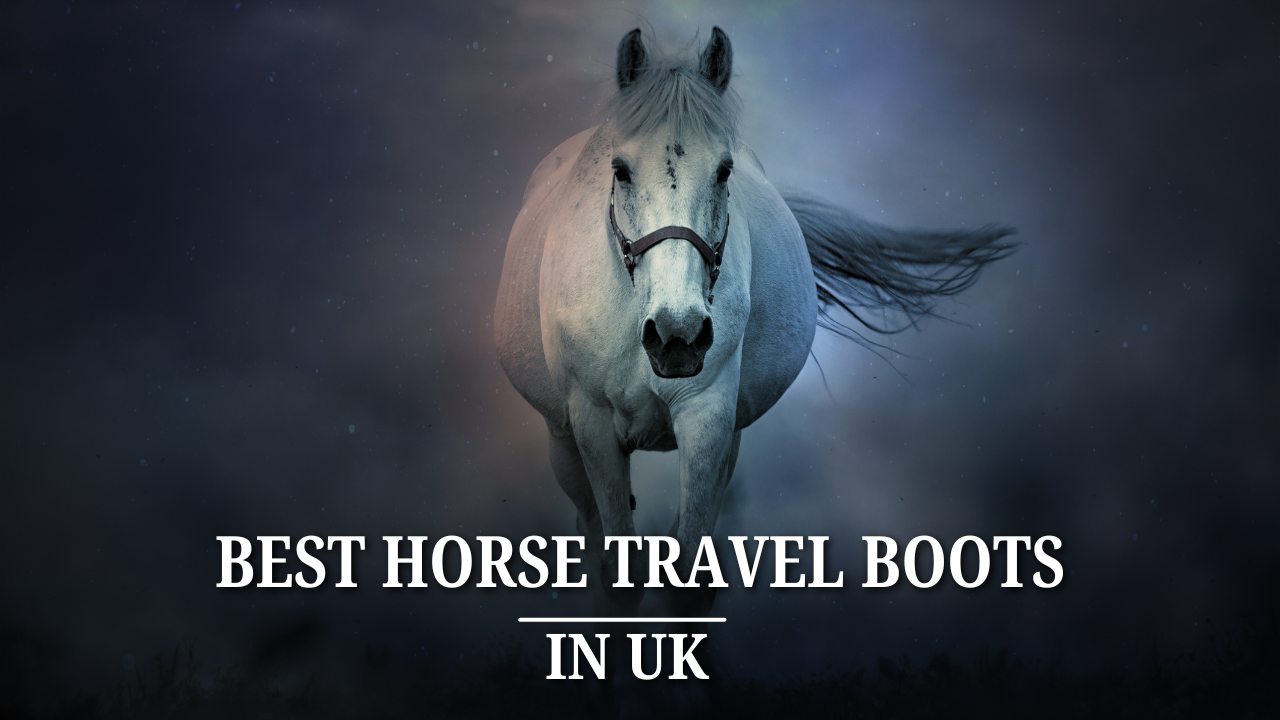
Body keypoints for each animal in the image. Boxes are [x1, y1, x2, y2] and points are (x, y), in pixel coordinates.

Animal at [494, 27, 1015, 618]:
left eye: (724, 170)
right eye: (620, 169)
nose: (676, 336)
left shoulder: (709, 416)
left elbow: (687, 576)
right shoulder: (593, 426)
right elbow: (618, 574)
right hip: (563, 442)